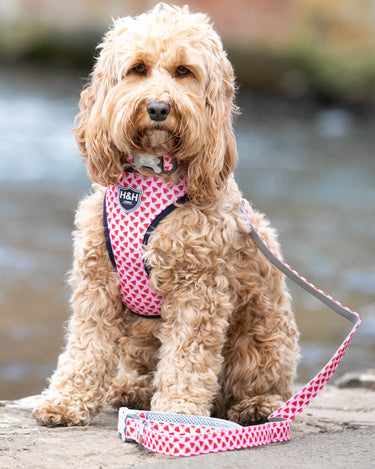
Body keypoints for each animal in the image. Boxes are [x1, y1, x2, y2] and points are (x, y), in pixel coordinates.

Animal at [33, 3, 302, 428]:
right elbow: (86, 347)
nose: (158, 107)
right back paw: (132, 389)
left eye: (183, 71)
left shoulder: (198, 288)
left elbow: (187, 358)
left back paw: (257, 405)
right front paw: (67, 400)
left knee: (256, 385)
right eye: (138, 69)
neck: (148, 179)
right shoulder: (97, 283)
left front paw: (178, 412)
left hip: (262, 333)